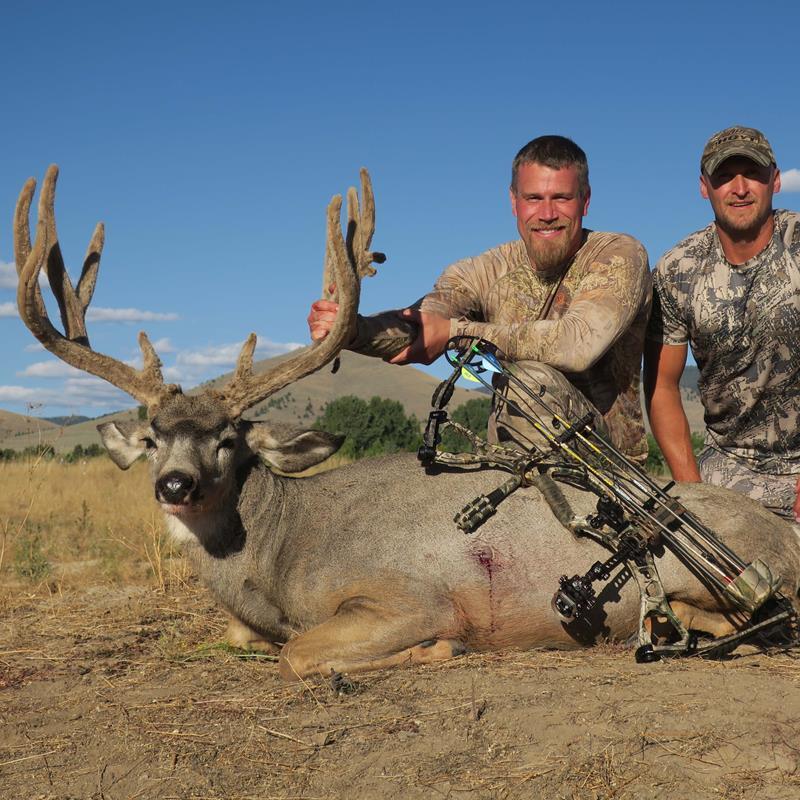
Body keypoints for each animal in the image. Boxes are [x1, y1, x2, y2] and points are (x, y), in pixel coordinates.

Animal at [13, 166, 800, 681]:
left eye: (228, 438)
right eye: (152, 437)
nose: (175, 485)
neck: (279, 553)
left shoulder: (409, 597)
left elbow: (300, 654)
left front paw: (437, 652)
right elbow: (248, 641)